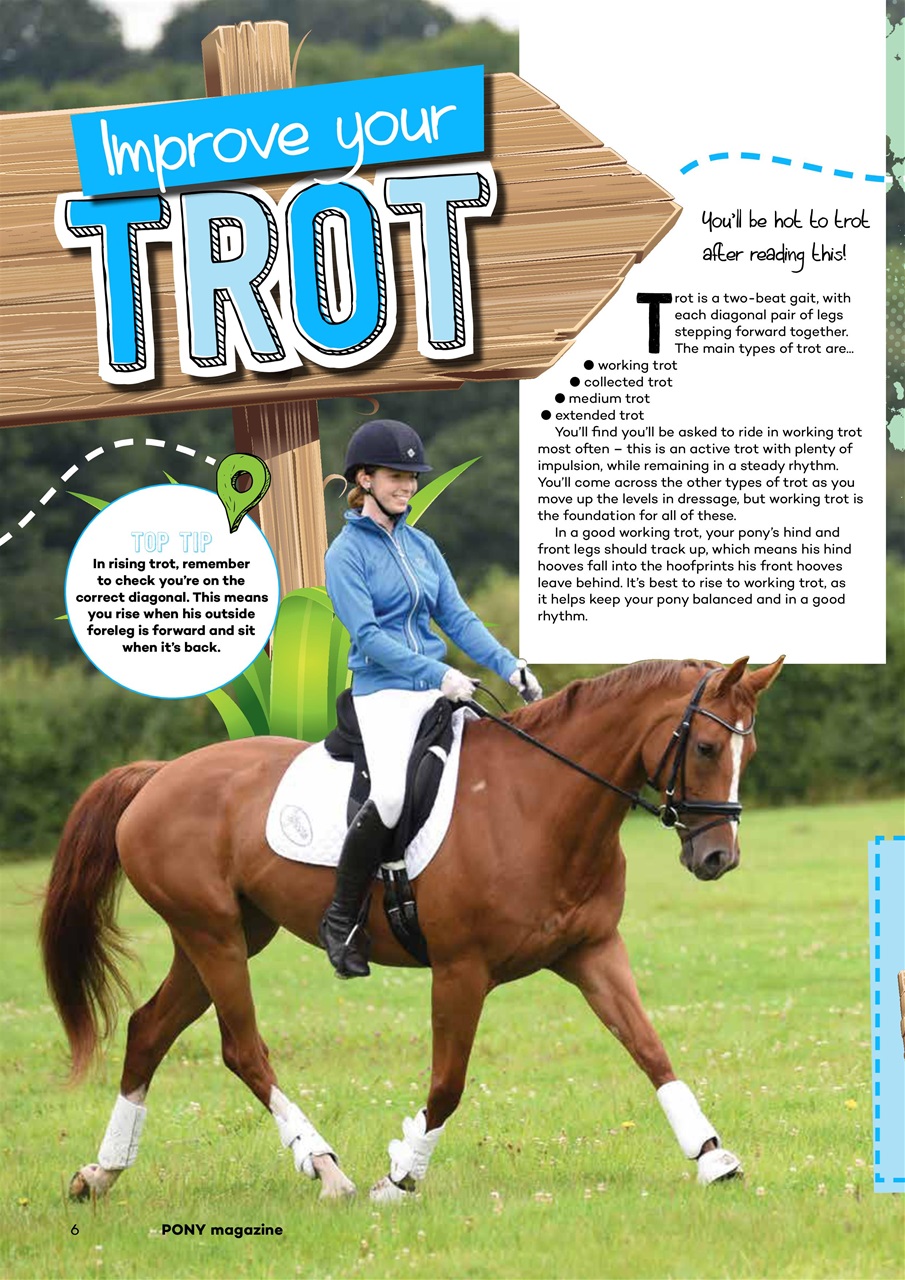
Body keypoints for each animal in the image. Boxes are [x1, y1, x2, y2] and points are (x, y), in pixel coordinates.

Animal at [40, 654, 783, 1203]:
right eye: (707, 746)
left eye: (747, 754)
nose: (717, 858)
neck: (539, 803)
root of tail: (159, 776)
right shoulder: (461, 970)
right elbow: (447, 1084)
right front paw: (399, 1177)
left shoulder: (591, 951)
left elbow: (650, 1049)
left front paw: (712, 1157)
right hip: (214, 937)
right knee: (242, 1050)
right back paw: (327, 1170)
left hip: (226, 936)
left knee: (149, 1030)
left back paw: (100, 1173)